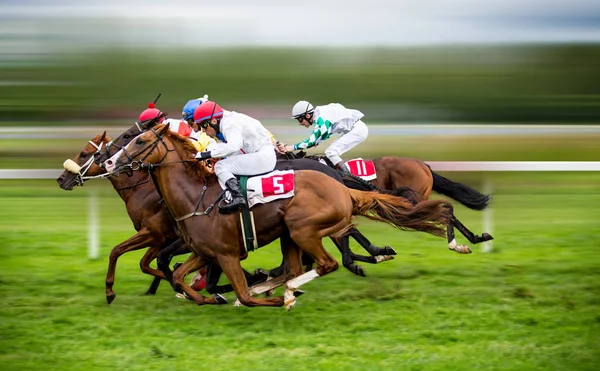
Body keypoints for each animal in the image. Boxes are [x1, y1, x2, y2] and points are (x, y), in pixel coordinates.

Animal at [104, 123, 450, 310]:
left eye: (139, 140)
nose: (109, 162)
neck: (196, 197)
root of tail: (341, 187)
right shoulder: (204, 252)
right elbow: (177, 275)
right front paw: (208, 297)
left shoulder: (227, 255)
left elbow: (241, 293)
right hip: (289, 235)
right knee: (297, 266)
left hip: (302, 230)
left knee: (326, 263)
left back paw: (287, 289)